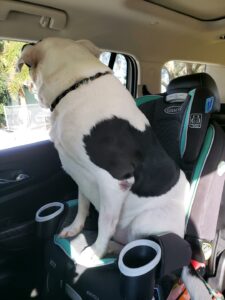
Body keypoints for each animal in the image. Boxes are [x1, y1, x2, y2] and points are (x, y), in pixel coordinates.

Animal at [17, 37, 211, 298]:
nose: (24, 45)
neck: (76, 85)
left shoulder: (115, 180)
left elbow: (104, 222)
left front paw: (95, 251)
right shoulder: (80, 175)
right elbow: (83, 204)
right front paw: (75, 228)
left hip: (145, 222)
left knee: (133, 247)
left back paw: (109, 249)